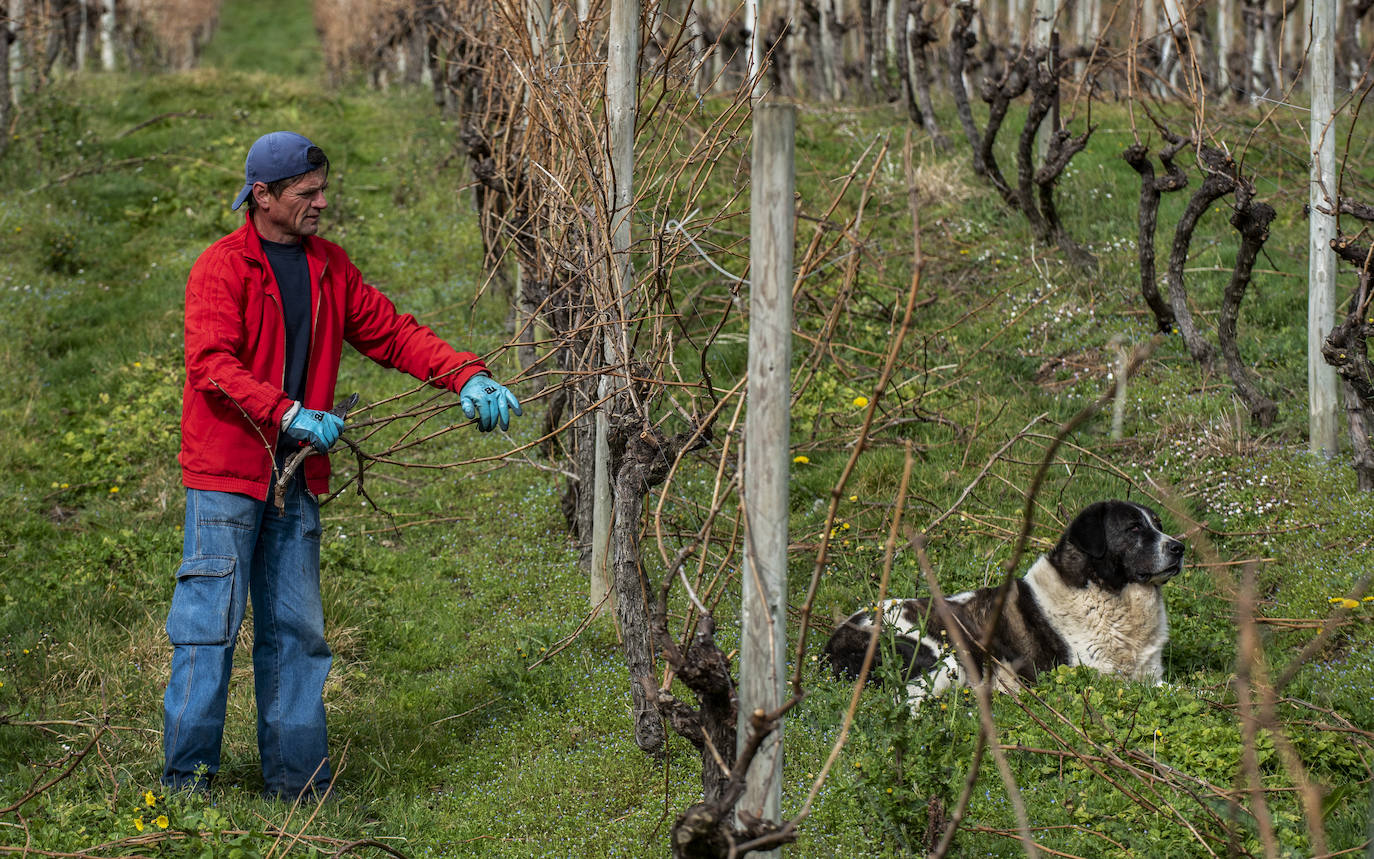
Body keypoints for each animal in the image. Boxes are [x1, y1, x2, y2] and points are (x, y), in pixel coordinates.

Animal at [818, 494, 1187, 703]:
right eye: (1133, 529)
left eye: (1157, 525)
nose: (1179, 547)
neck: (1104, 591)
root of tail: (831, 643)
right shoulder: (1095, 677)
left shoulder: (1149, 673)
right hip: (946, 659)